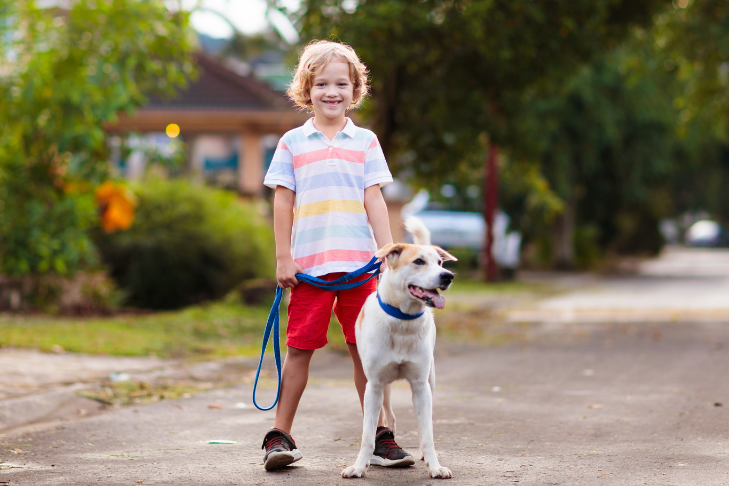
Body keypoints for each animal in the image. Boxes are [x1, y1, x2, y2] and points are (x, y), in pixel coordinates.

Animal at [342, 216, 456, 478]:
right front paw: (358, 467)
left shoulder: (420, 386)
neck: (403, 321)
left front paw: (435, 466)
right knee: (389, 417)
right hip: (382, 387)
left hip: (430, 380)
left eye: (438, 262)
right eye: (418, 261)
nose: (447, 276)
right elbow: (367, 435)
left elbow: (427, 432)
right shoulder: (373, 386)